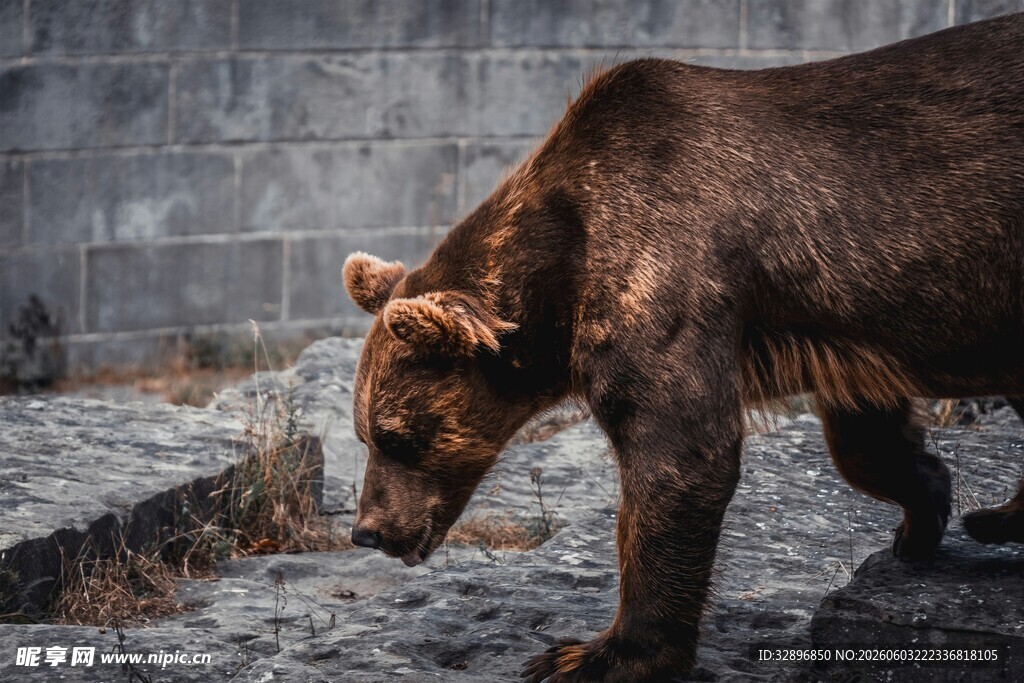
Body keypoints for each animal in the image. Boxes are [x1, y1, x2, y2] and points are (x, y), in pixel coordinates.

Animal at [342, 13, 1024, 682]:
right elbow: (865, 437)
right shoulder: (835, 321)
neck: (559, 277)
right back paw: (997, 517)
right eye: (364, 434)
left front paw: (591, 655)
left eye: (399, 436)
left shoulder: (664, 271)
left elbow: (680, 458)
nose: (367, 531)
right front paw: (924, 511)